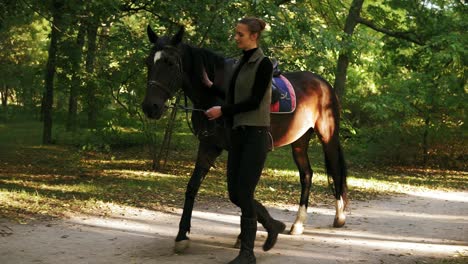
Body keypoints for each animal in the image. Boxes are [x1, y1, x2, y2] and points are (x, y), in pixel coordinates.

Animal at [143, 26, 348, 252]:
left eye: (170, 63)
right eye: (148, 62)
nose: (150, 107)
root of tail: (323, 84)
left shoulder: (241, 148)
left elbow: (243, 190)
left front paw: (246, 235)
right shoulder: (209, 146)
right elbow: (193, 187)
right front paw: (182, 236)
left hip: (327, 136)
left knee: (336, 171)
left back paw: (339, 216)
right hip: (299, 141)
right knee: (306, 175)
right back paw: (298, 224)